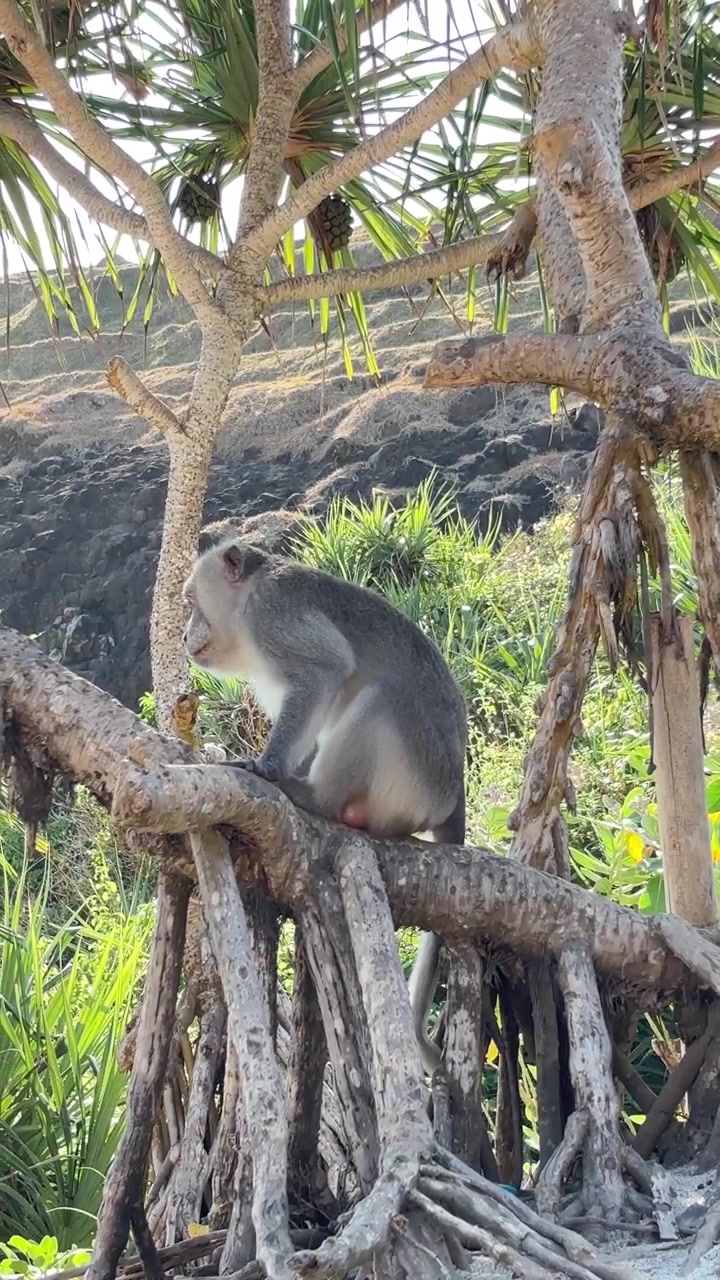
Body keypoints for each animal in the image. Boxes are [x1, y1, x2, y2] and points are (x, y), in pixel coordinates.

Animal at [182, 538, 467, 1073]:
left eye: (190, 603)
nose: (187, 632)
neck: (248, 598)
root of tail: (456, 789)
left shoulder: (273, 614)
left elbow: (326, 668)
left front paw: (269, 767)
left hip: (421, 773)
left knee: (382, 699)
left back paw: (318, 798)